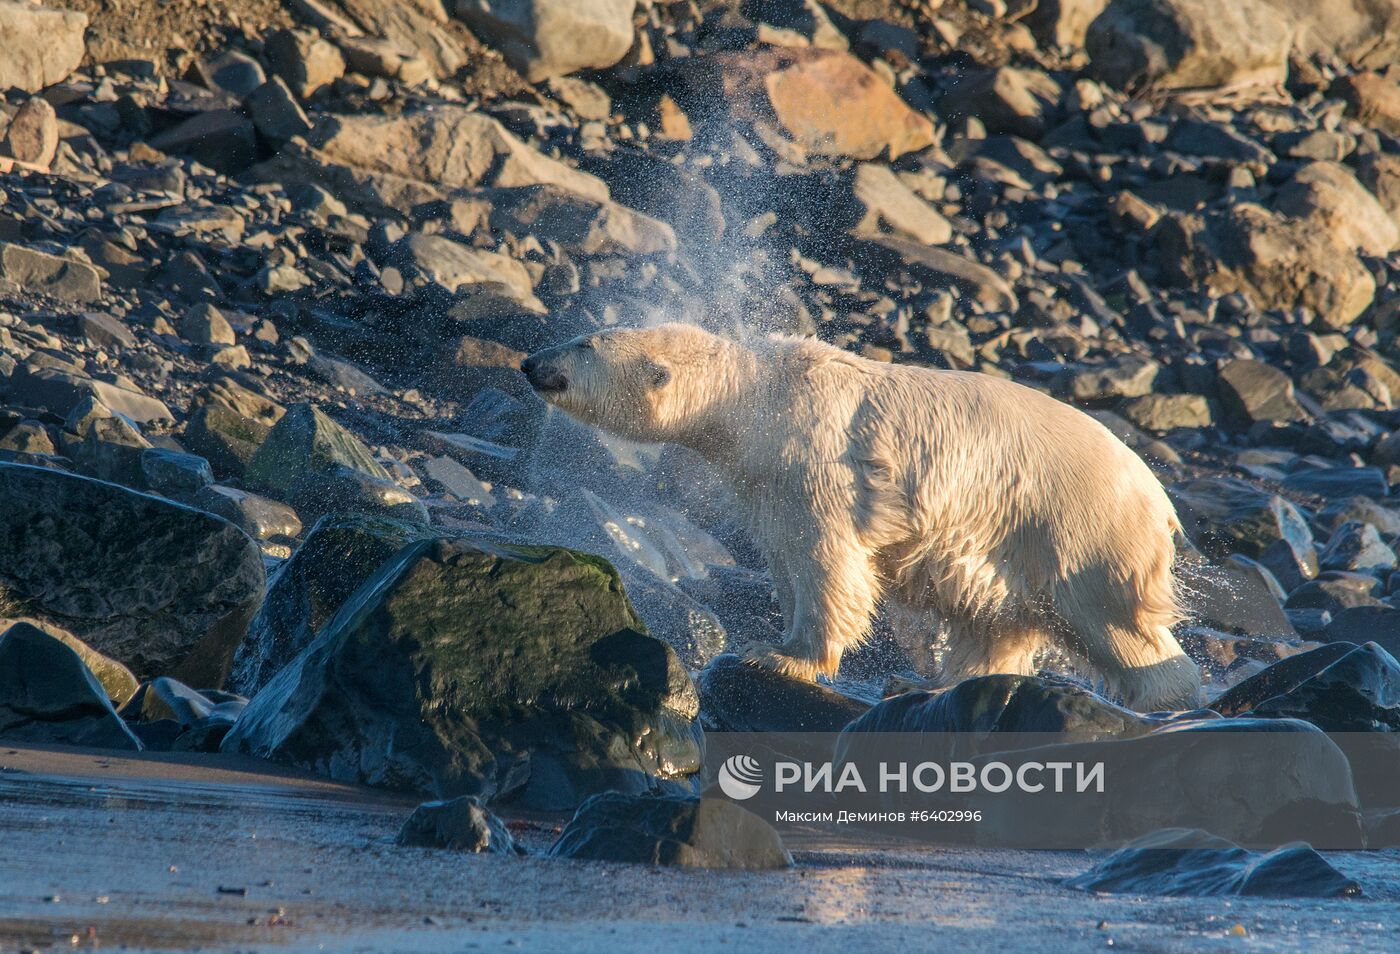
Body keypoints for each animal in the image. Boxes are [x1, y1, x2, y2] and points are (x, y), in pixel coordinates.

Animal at [526, 323, 1204, 711]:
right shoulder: (769, 487)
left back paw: (1164, 698)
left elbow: (830, 564)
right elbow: (787, 558)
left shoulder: (818, 461)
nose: (531, 363)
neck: (760, 396)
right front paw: (780, 641)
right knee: (993, 620)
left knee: (1113, 622)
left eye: (583, 344)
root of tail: (1161, 500)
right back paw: (928, 685)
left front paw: (780, 657)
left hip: (1074, 528)